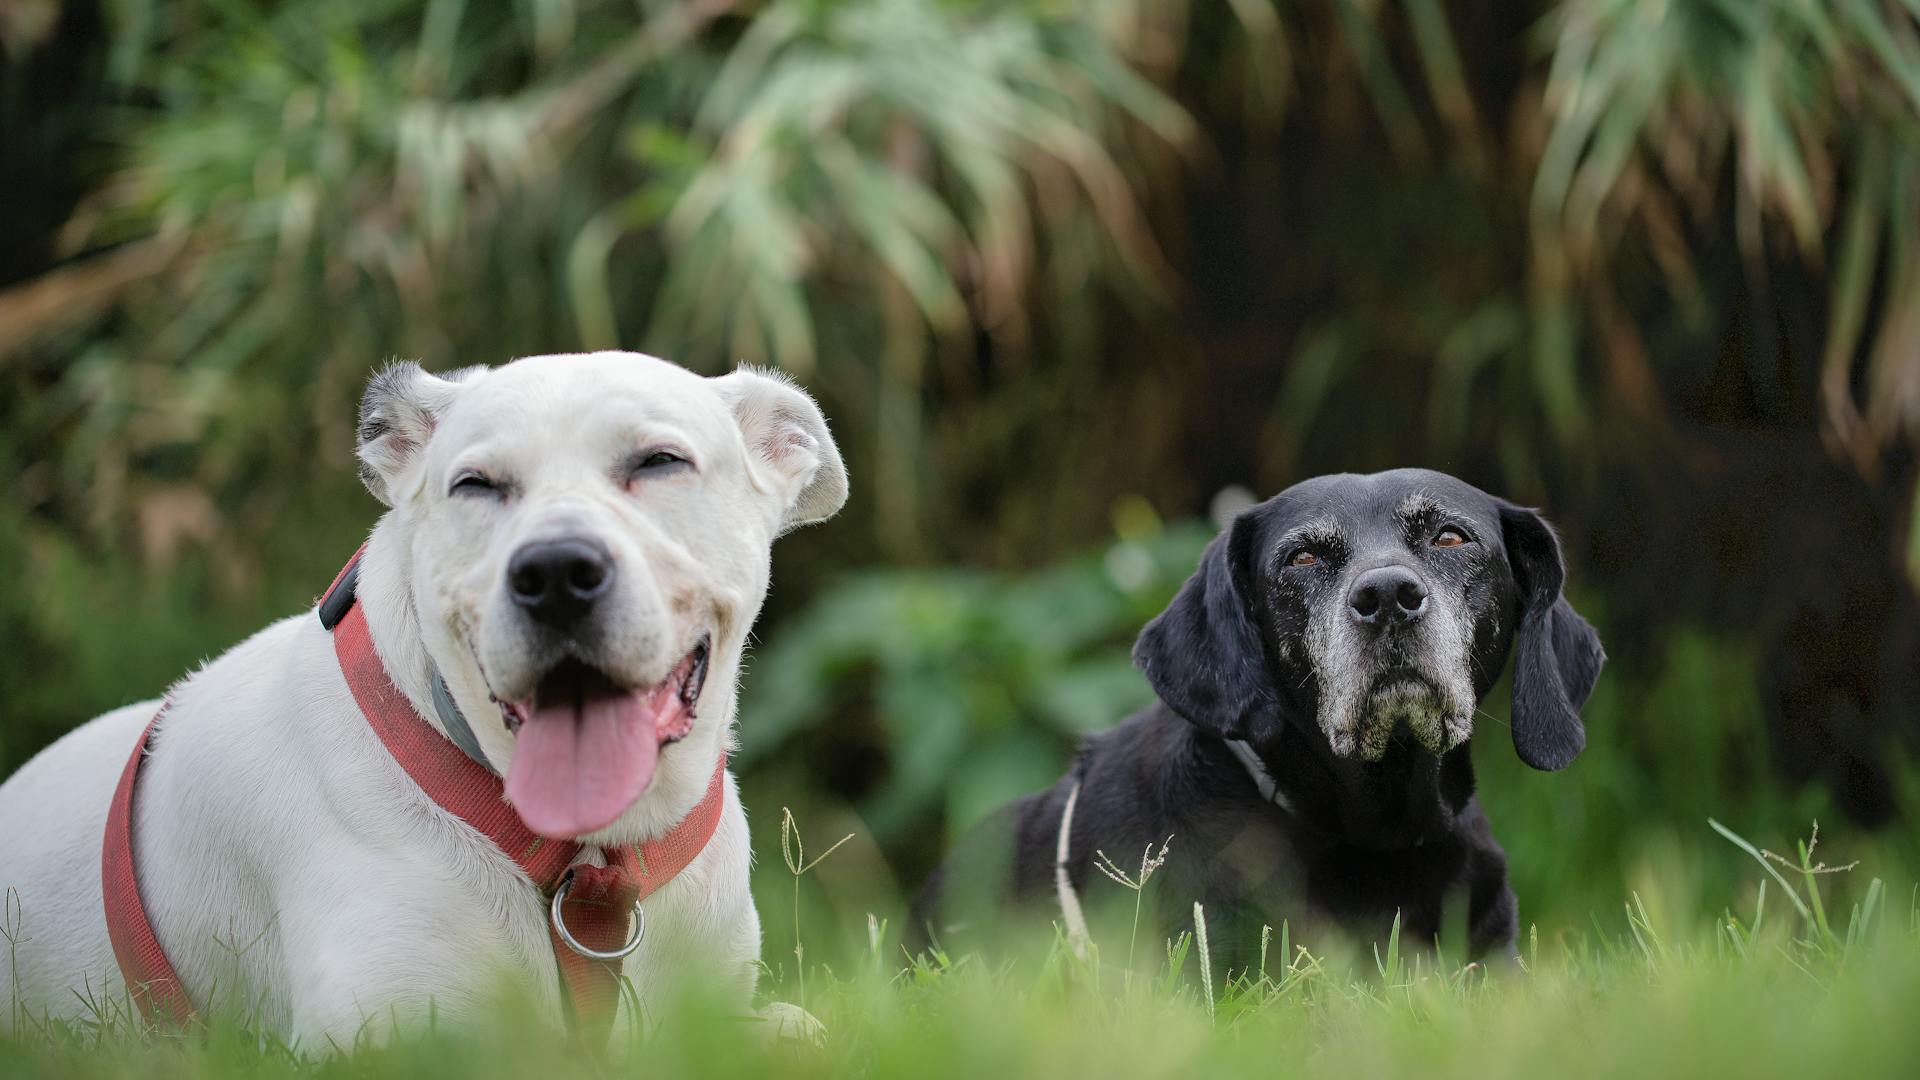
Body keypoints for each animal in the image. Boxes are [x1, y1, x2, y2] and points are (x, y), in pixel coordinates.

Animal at [0, 353, 840, 1045]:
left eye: (661, 462)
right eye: (476, 485)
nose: (555, 573)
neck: (589, 854)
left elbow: (795, 1029)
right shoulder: (381, 1028)